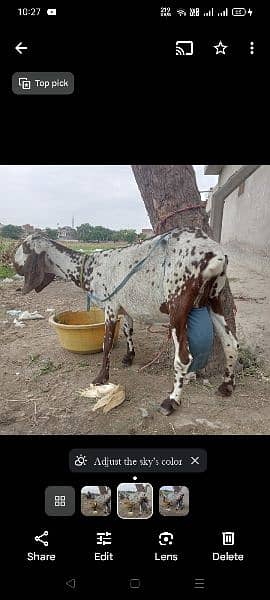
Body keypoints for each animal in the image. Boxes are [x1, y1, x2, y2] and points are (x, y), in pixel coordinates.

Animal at [13, 232, 239, 414]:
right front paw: (129, 357)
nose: (14, 267)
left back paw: (171, 401)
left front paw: (101, 378)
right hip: (214, 299)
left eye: (22, 250)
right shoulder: (125, 307)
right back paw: (226, 386)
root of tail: (215, 255)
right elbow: (128, 331)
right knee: (231, 343)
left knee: (184, 357)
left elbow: (106, 343)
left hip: (178, 305)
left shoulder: (110, 307)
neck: (89, 266)